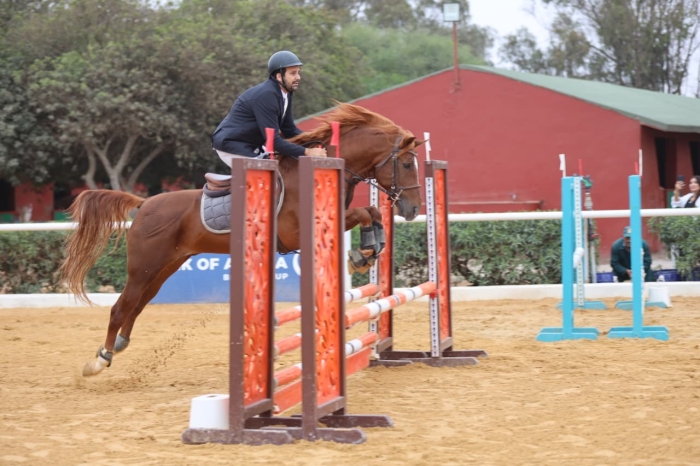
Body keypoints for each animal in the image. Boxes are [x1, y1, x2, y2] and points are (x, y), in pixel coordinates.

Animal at [60, 102, 425, 377]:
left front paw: (369, 250)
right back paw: (100, 359)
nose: (412, 209)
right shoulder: (299, 231)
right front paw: (362, 254)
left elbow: (371, 213)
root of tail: (144, 203)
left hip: (165, 267)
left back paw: (119, 345)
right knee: (120, 307)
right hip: (144, 267)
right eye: (407, 164)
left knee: (138, 304)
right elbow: (364, 213)